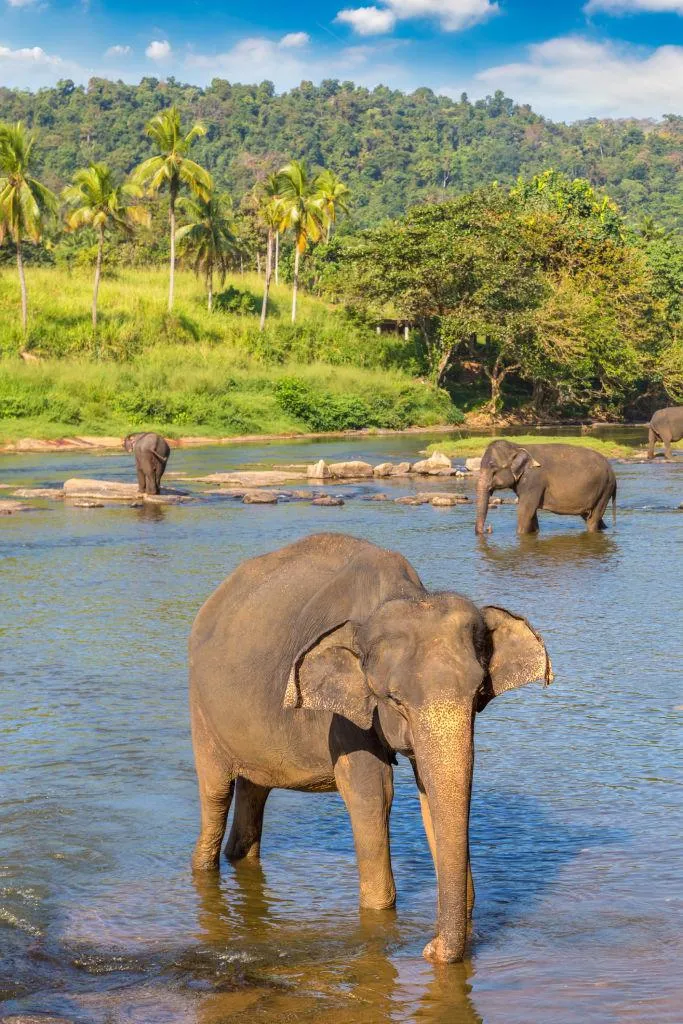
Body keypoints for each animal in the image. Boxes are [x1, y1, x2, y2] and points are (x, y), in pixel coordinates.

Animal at [189, 532, 552, 964]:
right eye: (394, 700)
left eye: (480, 692)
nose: (428, 950)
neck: (400, 595)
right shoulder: (344, 715)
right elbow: (372, 791)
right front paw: (380, 915)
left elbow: (430, 792)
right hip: (201, 709)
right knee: (215, 791)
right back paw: (204, 864)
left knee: (254, 789)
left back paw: (240, 857)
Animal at [475, 439, 617, 536]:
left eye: (493, 469)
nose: (488, 529)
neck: (516, 446)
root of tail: (612, 472)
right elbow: (531, 515)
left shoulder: (533, 481)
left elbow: (525, 512)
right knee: (591, 517)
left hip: (605, 489)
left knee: (592, 520)